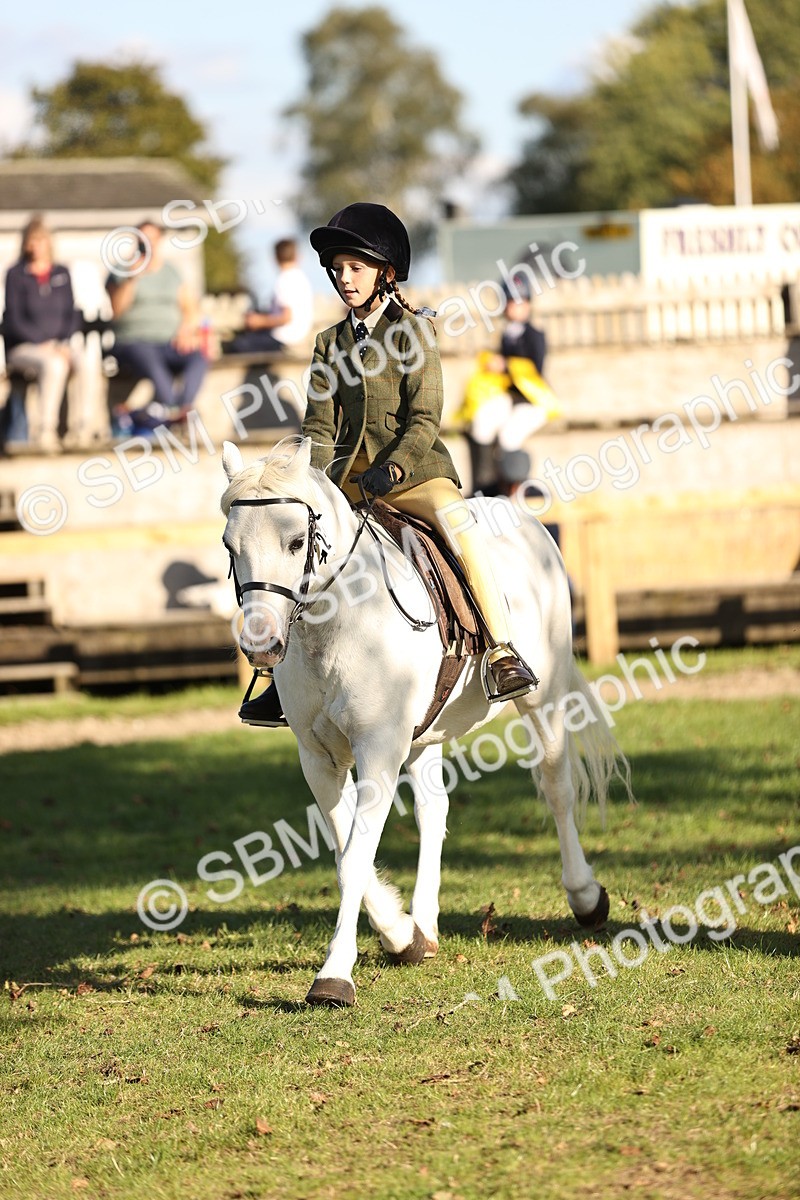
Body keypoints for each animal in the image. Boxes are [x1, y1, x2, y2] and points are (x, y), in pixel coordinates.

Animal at [220, 436, 630, 1007]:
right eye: (229, 544)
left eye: (296, 540)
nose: (261, 644)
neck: (337, 623)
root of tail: (522, 517)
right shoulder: (319, 758)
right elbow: (348, 854)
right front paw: (399, 934)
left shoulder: (379, 749)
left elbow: (354, 857)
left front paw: (335, 975)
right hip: (424, 733)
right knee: (434, 810)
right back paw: (426, 926)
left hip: (543, 700)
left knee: (557, 788)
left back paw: (586, 897)